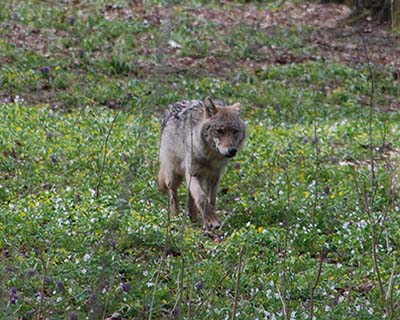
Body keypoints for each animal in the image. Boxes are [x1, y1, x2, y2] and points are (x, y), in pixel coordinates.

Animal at [157, 97, 247, 230]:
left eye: (235, 131)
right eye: (219, 131)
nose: (232, 150)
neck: (210, 158)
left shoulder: (215, 177)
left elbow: (211, 200)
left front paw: (207, 223)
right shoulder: (193, 174)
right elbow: (202, 198)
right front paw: (212, 221)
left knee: (190, 196)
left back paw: (193, 218)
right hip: (173, 176)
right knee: (173, 194)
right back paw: (175, 217)